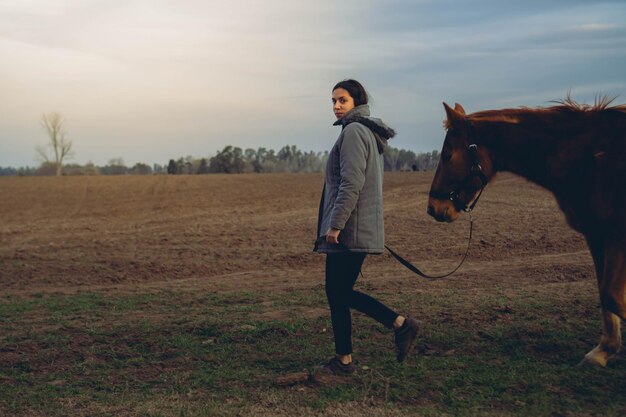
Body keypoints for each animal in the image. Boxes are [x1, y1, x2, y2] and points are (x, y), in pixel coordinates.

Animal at [424, 96, 624, 364]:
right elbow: (606, 295)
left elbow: (613, 296)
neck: (591, 156)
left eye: (447, 155)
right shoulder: (597, 234)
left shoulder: (615, 236)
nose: (433, 208)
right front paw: (605, 349)